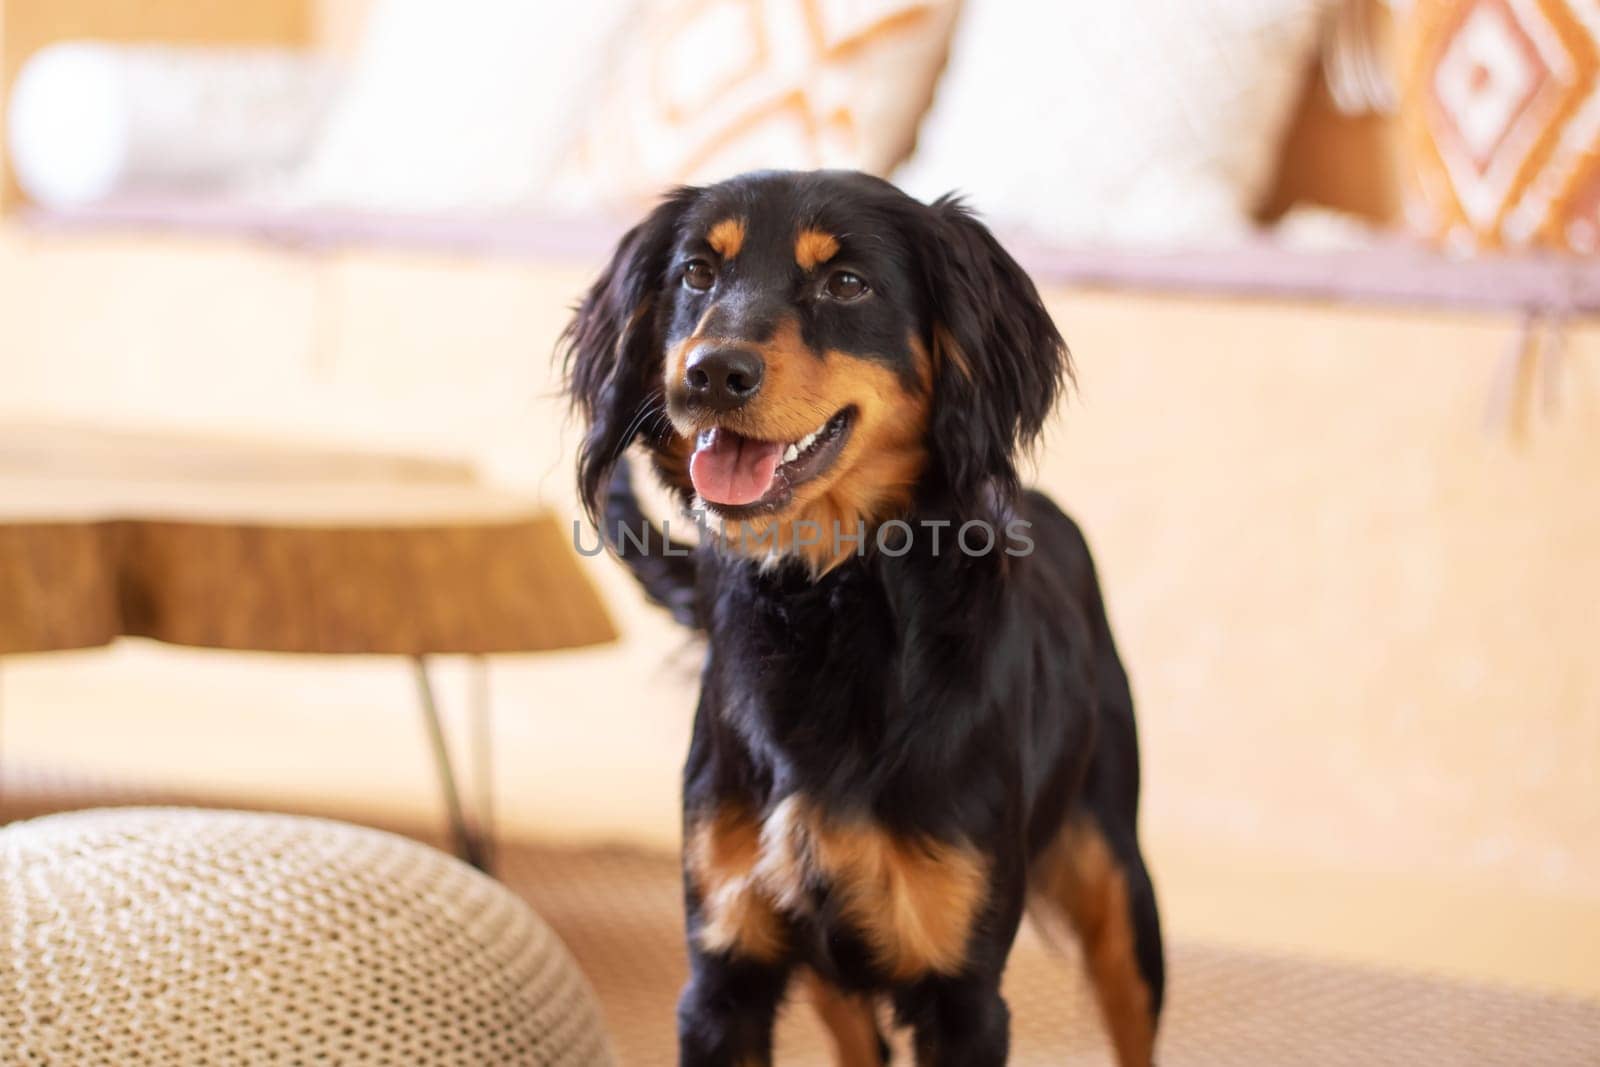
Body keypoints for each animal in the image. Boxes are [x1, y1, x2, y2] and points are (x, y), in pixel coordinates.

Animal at [563, 171, 1164, 1062]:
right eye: (697, 274)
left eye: (847, 283)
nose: (711, 372)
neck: (826, 606)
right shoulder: (724, 967)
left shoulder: (963, 991)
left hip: (1119, 883)